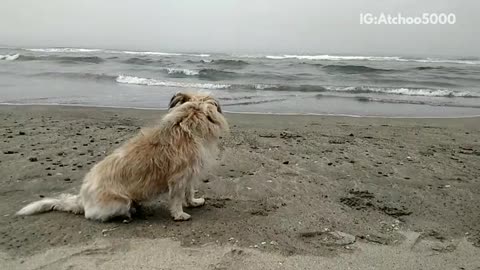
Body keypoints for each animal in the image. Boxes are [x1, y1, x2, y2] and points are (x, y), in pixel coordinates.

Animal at [16, 92, 229, 221]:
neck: (188, 125)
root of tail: (82, 199)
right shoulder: (178, 178)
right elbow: (177, 198)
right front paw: (179, 214)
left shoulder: (190, 175)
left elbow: (189, 192)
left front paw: (193, 203)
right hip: (119, 202)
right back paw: (130, 213)